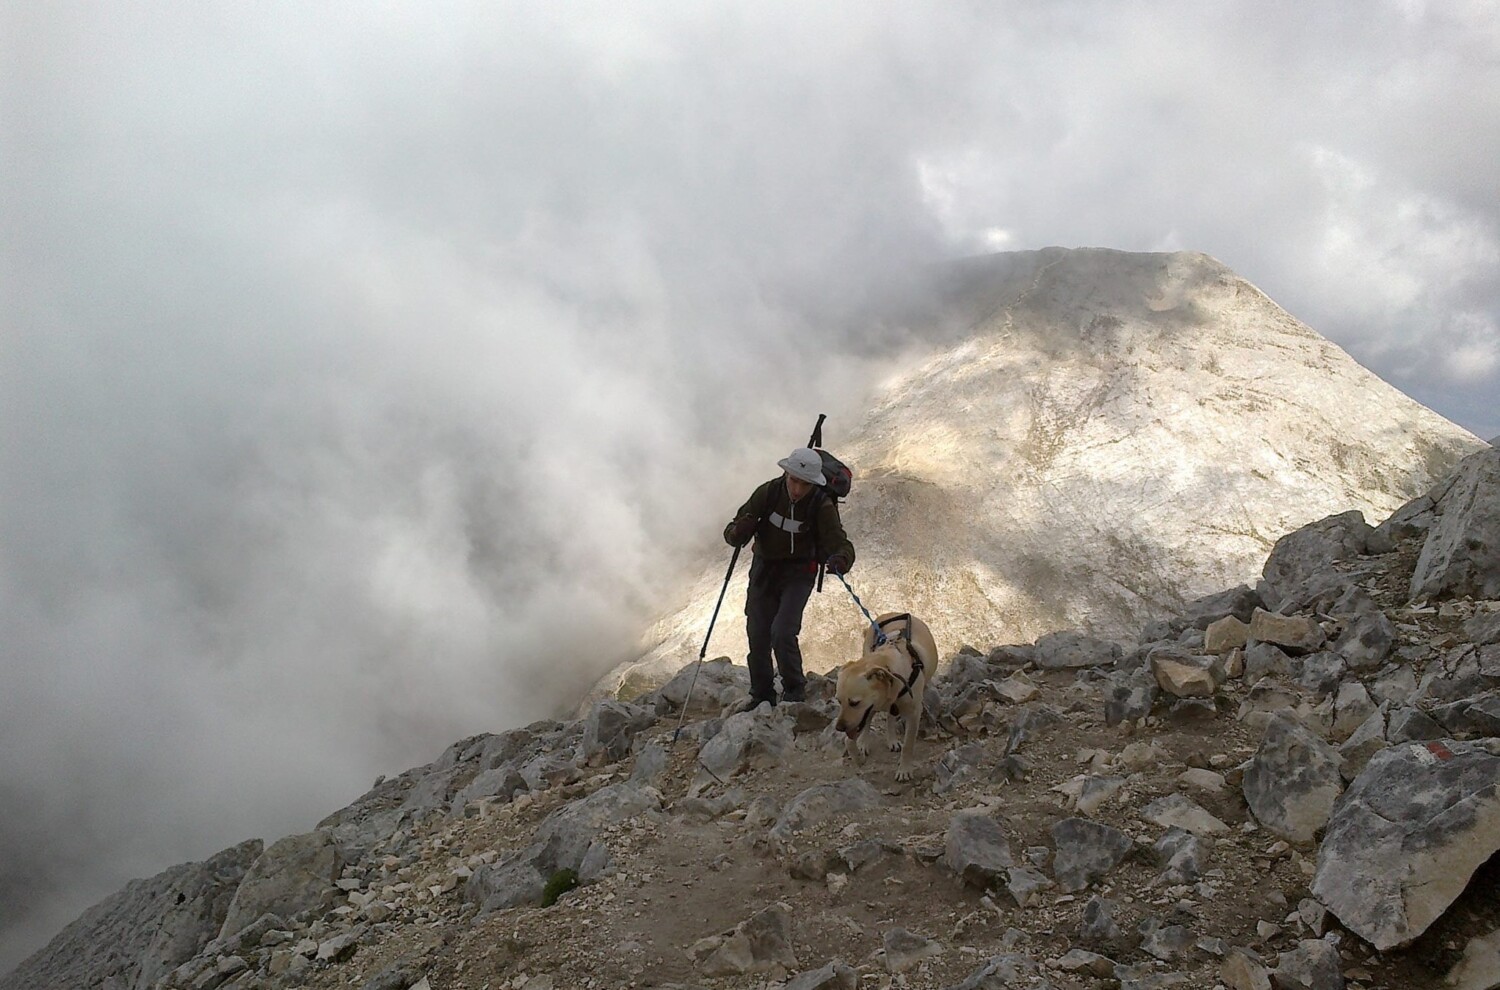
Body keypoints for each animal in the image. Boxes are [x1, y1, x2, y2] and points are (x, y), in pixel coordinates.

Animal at [834, 612, 936, 780]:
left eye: (854, 702)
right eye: (839, 701)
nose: (839, 727)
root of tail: (892, 613)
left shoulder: (914, 713)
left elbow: (908, 745)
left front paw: (904, 770)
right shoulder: (863, 715)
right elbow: (849, 740)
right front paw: (858, 757)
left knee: (890, 717)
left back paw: (892, 740)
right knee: (872, 719)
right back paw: (864, 742)